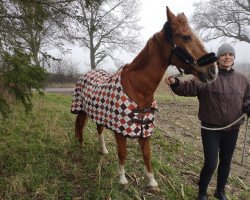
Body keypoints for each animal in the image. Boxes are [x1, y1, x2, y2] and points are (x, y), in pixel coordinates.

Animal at [71, 6, 218, 191]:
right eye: (186, 37)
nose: (213, 71)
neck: (138, 88)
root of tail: (87, 73)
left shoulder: (145, 130)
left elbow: (147, 154)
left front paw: (152, 180)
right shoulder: (121, 130)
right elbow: (123, 153)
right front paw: (122, 179)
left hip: (100, 114)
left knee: (99, 128)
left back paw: (103, 150)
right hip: (82, 110)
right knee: (81, 126)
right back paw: (80, 146)